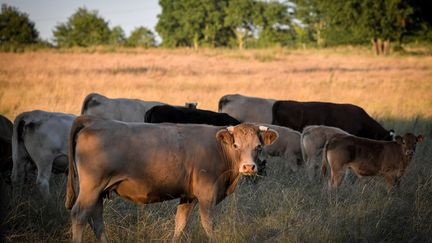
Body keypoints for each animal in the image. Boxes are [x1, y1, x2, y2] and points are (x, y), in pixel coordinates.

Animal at [66, 116, 278, 243]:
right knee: (79, 215)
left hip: (99, 191)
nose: (248, 167)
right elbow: (208, 224)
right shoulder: (207, 193)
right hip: (91, 187)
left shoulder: (189, 196)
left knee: (96, 218)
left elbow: (180, 223)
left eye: (258, 146)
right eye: (235, 145)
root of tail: (95, 121)